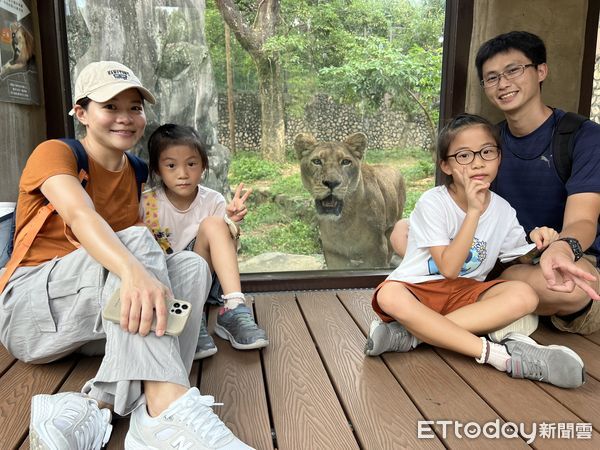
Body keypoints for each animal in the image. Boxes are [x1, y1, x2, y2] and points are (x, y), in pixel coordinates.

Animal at [294, 132, 406, 268]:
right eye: (316, 161)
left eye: (346, 162)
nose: (331, 183)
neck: (342, 223)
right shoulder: (333, 253)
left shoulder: (378, 249)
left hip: (392, 229)